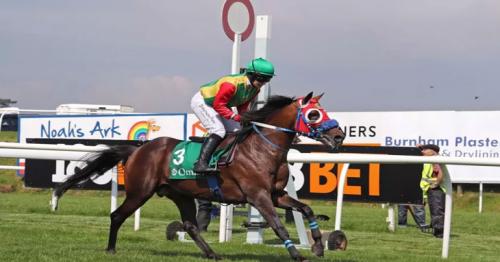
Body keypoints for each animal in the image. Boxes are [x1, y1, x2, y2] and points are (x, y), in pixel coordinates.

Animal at [53, 91, 344, 260]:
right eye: (314, 114)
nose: (339, 135)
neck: (262, 149)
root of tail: (139, 148)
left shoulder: (276, 194)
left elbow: (306, 209)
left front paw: (319, 246)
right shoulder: (257, 196)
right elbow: (278, 224)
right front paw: (297, 254)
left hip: (180, 194)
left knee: (191, 225)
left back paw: (212, 253)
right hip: (140, 191)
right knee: (117, 215)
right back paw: (111, 249)